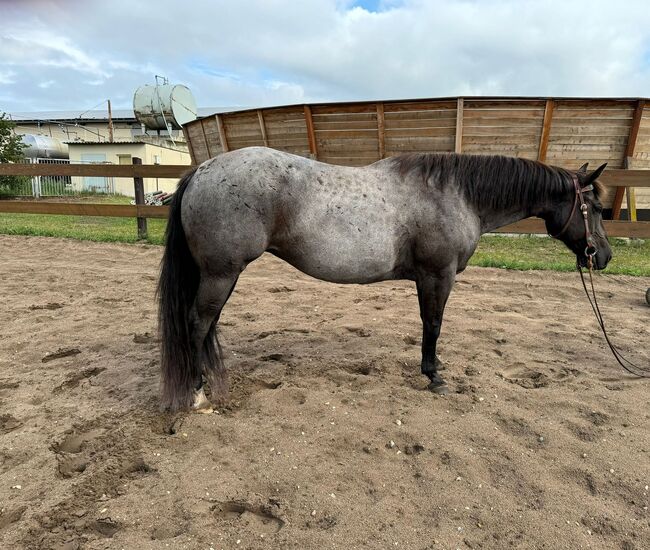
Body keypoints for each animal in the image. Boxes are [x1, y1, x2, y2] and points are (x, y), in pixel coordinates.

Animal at [156, 149, 608, 412]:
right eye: (598, 209)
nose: (602, 256)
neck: (455, 194)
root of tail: (200, 171)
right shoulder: (436, 276)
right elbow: (433, 325)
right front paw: (433, 376)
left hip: (222, 275)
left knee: (206, 325)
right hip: (221, 273)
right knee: (197, 324)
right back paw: (197, 393)